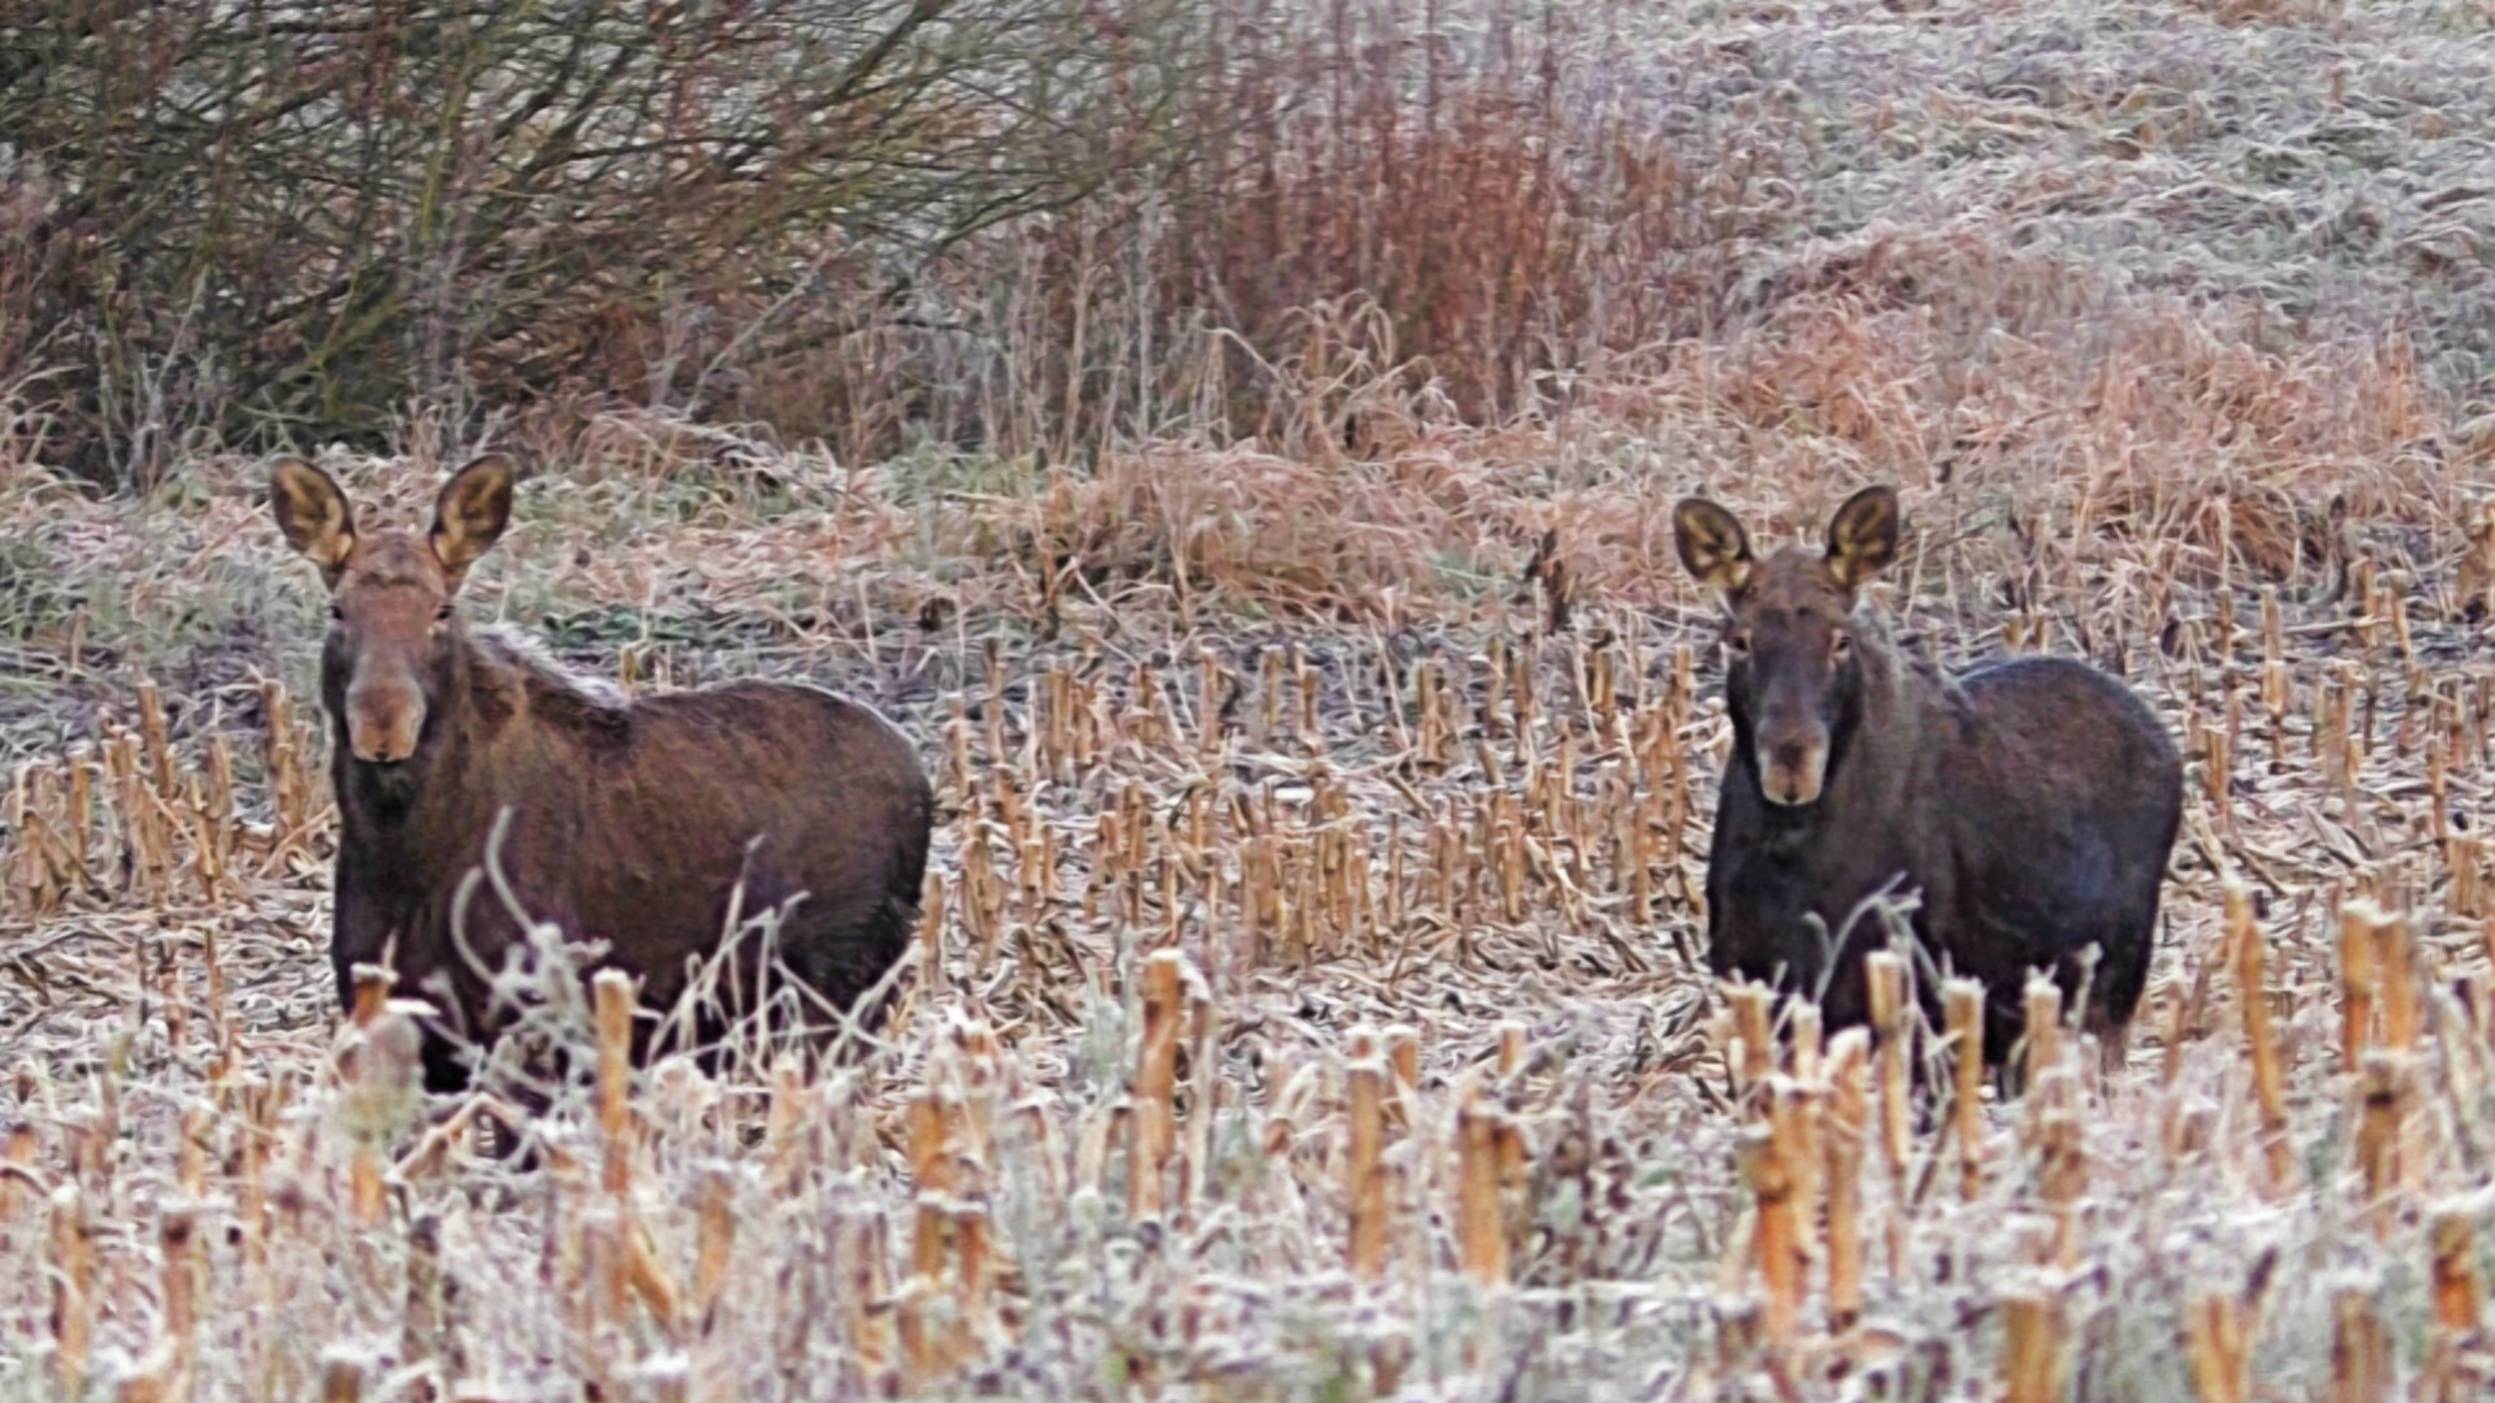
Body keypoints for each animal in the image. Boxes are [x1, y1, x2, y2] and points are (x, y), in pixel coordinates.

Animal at [268, 454, 938, 1088]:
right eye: (337, 610)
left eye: (442, 609)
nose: (383, 725)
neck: (404, 851)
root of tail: (921, 777)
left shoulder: (534, 1019)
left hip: (839, 986)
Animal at [1676, 486, 2185, 1073]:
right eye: (1740, 641)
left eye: (1841, 640)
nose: (1791, 763)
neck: (1790, 852)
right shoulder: (1753, 983)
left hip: (2110, 986)